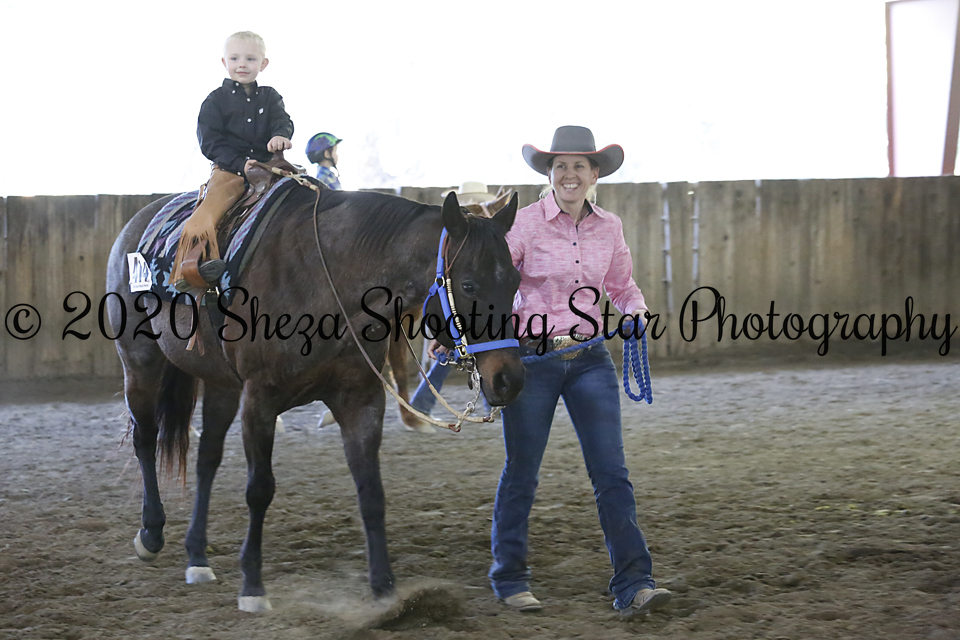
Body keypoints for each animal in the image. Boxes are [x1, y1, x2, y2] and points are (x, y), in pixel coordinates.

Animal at [105, 185, 525, 612]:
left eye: (515, 280)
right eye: (469, 285)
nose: (508, 378)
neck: (331, 281)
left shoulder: (361, 399)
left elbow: (371, 491)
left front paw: (384, 587)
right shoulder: (259, 400)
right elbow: (259, 489)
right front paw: (253, 585)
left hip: (222, 384)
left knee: (207, 458)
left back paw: (197, 557)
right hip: (140, 362)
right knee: (145, 440)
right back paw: (151, 534)